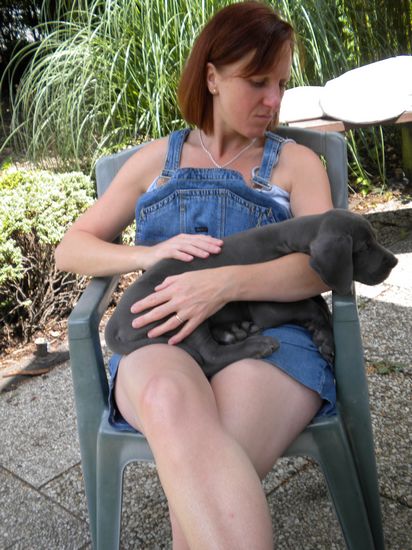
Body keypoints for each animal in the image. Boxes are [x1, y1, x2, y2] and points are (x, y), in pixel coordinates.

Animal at [105, 209, 398, 377]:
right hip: (182, 311)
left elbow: (319, 305)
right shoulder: (268, 307)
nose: (394, 261)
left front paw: (323, 336)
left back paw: (235, 331)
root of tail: (114, 323)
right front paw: (324, 337)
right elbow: (313, 308)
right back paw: (256, 344)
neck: (290, 238)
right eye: (364, 247)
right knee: (209, 357)